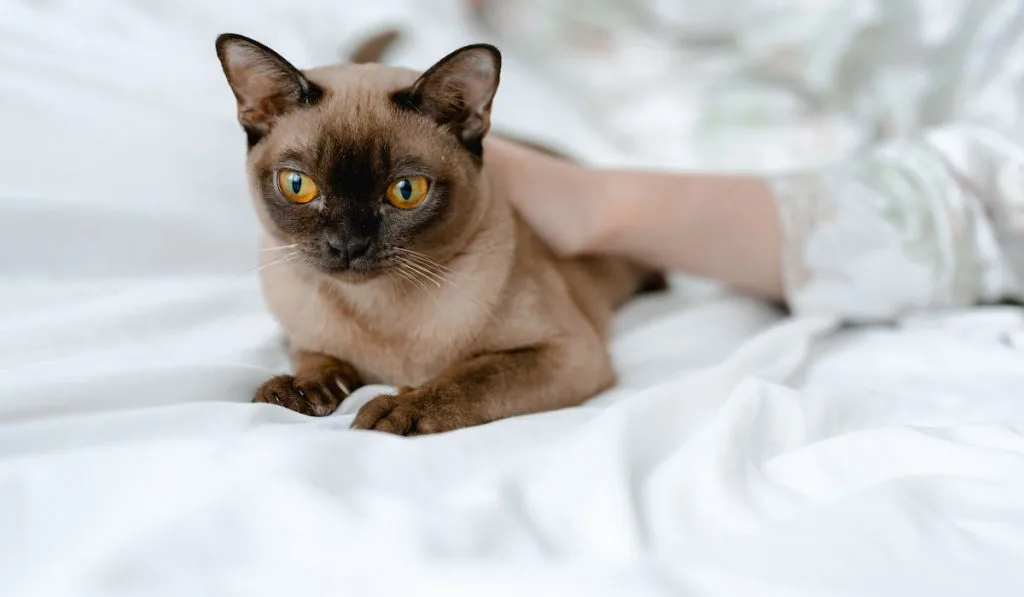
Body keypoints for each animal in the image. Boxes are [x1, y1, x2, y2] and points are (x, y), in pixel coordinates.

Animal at [215, 33, 663, 434]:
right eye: (298, 185)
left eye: (406, 191)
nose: (347, 245)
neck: (376, 310)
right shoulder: (302, 337)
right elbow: (317, 359)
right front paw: (298, 390)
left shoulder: (564, 351)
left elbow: (472, 377)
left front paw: (400, 410)